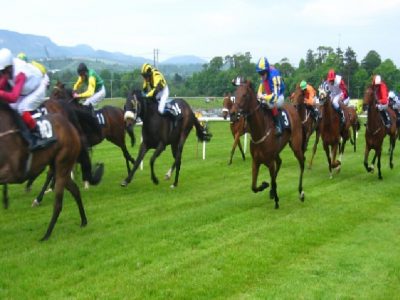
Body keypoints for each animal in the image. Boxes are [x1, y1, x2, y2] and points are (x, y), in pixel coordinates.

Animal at [0, 99, 86, 240]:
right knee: (74, 189)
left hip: (63, 163)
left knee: (58, 203)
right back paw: (83, 221)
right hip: (59, 167)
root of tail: (71, 127)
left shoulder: (14, 172)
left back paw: (47, 234)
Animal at [231, 78, 306, 210]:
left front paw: (276, 200)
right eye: (235, 94)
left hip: (296, 146)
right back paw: (271, 190)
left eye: (244, 95)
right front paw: (265, 185)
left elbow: (273, 181)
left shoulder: (270, 162)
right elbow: (253, 186)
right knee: (280, 162)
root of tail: (293, 108)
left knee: (302, 163)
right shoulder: (256, 161)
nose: (233, 113)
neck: (260, 131)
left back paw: (300, 192)